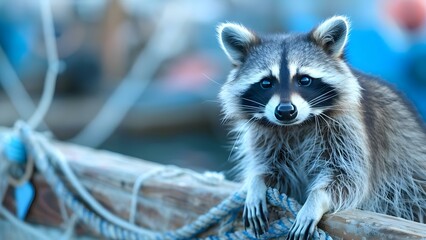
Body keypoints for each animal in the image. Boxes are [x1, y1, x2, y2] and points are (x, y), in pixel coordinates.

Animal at [218, 15, 426, 239]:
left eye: (304, 79)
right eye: (266, 83)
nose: (285, 111)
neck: (297, 125)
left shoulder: (347, 128)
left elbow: (348, 177)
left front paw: (316, 200)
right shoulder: (266, 137)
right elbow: (271, 169)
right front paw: (257, 182)